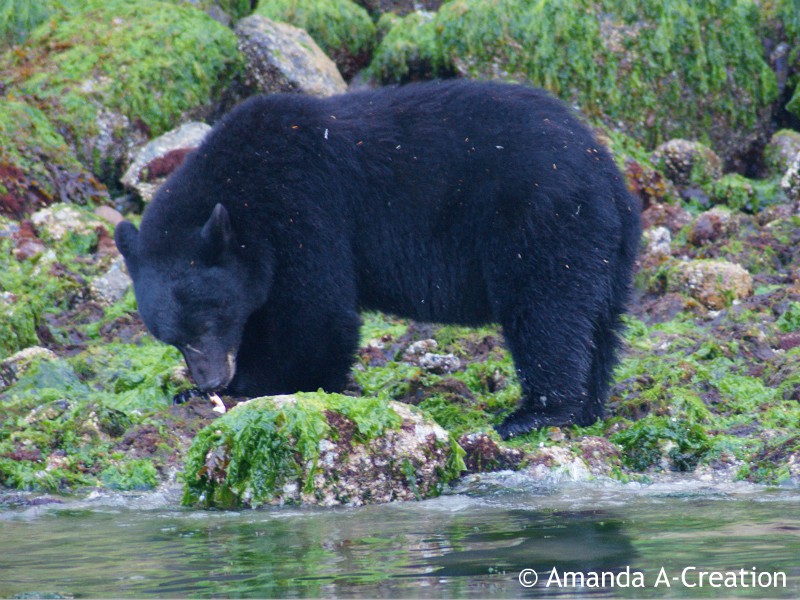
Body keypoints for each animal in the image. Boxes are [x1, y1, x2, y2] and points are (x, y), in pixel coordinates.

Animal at [115, 79, 640, 438]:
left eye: (207, 321)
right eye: (171, 338)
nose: (211, 379)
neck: (241, 189)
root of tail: (606, 170)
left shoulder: (302, 207)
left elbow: (316, 315)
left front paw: (257, 384)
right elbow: (269, 312)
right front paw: (198, 386)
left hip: (540, 220)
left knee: (546, 312)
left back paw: (535, 414)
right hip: (607, 250)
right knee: (598, 323)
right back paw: (588, 406)